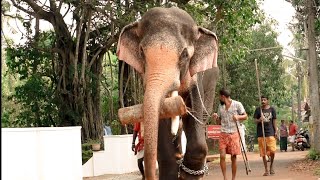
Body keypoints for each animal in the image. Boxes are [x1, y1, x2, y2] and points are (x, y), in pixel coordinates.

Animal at [117, 6, 220, 179]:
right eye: (141, 52)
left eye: (185, 54)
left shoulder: (195, 78)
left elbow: (194, 111)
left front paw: (189, 174)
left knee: (203, 116)